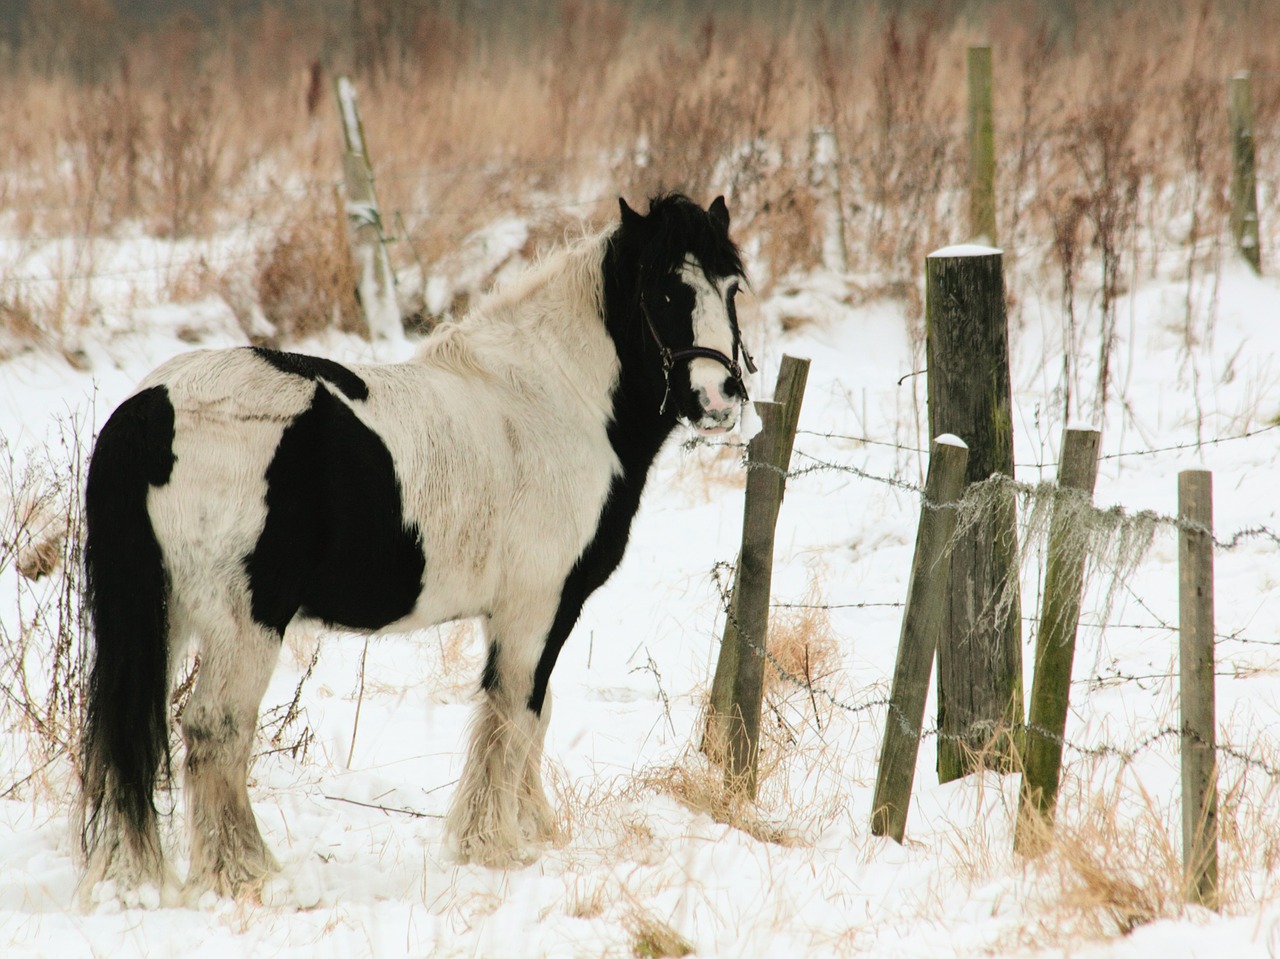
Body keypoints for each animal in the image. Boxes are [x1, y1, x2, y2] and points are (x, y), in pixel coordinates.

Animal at [77, 192, 747, 896]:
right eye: (666, 292)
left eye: (731, 288)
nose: (721, 397)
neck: (555, 403)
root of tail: (152, 409)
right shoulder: (537, 607)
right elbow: (515, 716)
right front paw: (495, 844)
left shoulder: (524, 613)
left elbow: (536, 715)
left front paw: (530, 828)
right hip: (243, 622)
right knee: (214, 729)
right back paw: (246, 871)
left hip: (168, 614)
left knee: (133, 726)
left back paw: (133, 868)